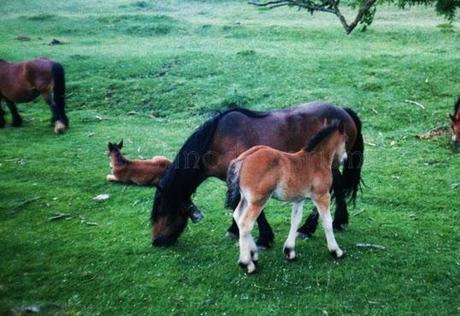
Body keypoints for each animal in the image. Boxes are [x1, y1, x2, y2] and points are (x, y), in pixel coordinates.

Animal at [226, 121, 348, 274]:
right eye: (345, 140)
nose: (345, 159)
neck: (316, 159)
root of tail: (243, 158)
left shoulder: (299, 199)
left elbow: (295, 220)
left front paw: (289, 251)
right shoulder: (322, 196)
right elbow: (327, 222)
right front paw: (336, 251)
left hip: (245, 199)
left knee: (237, 216)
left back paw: (253, 254)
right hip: (258, 201)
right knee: (245, 224)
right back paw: (246, 263)